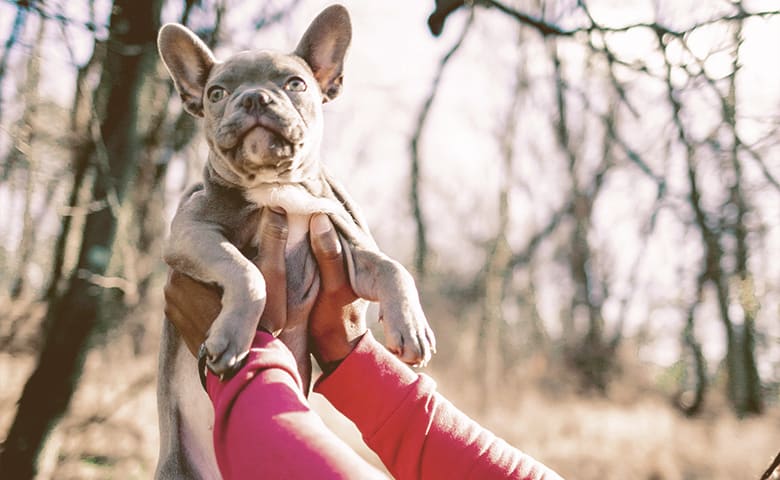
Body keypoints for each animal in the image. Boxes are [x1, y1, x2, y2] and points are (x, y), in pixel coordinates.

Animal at [155, 5, 436, 478]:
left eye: (295, 84)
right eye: (216, 93)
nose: (253, 98)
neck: (277, 185)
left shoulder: (349, 245)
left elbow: (393, 268)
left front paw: (411, 326)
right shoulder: (192, 234)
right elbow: (247, 273)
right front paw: (232, 336)